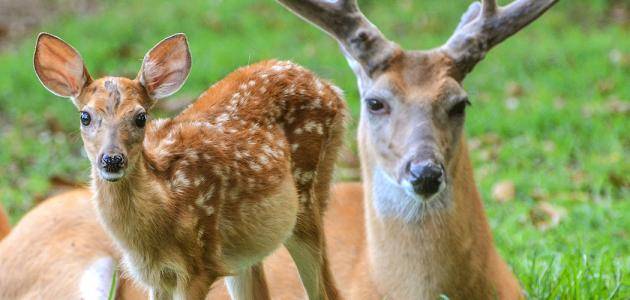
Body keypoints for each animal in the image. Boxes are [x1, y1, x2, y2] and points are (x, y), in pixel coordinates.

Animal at [33, 32, 346, 300]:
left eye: (141, 117)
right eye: (85, 116)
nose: (112, 159)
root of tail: (332, 89)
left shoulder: (199, 266)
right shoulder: (156, 277)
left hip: (306, 195)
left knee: (325, 290)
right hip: (249, 250)